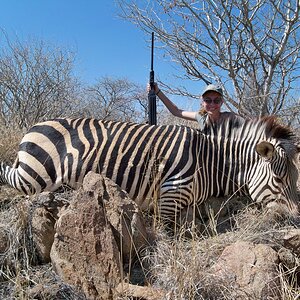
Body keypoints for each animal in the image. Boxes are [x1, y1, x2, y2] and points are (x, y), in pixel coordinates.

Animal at [0, 116, 298, 217]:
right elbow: (167, 237)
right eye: (279, 180)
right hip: (34, 175)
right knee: (8, 174)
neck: (210, 161)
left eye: (294, 181)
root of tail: (36, 124)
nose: (295, 217)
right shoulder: (169, 194)